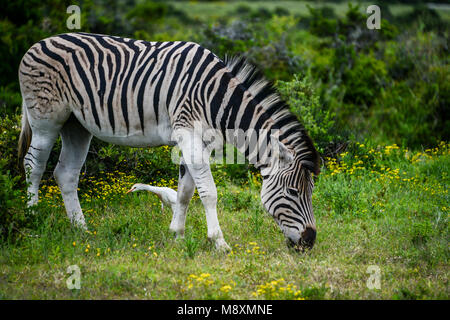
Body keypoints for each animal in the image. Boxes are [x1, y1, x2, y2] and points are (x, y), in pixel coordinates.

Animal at [17, 32, 320, 252]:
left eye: (310, 193)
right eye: (294, 192)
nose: (309, 242)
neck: (216, 99)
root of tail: (38, 43)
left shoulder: (195, 141)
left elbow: (185, 191)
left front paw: (178, 236)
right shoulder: (188, 134)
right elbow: (209, 192)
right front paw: (219, 242)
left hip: (76, 125)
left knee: (65, 173)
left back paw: (81, 229)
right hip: (46, 119)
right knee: (34, 164)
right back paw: (32, 217)